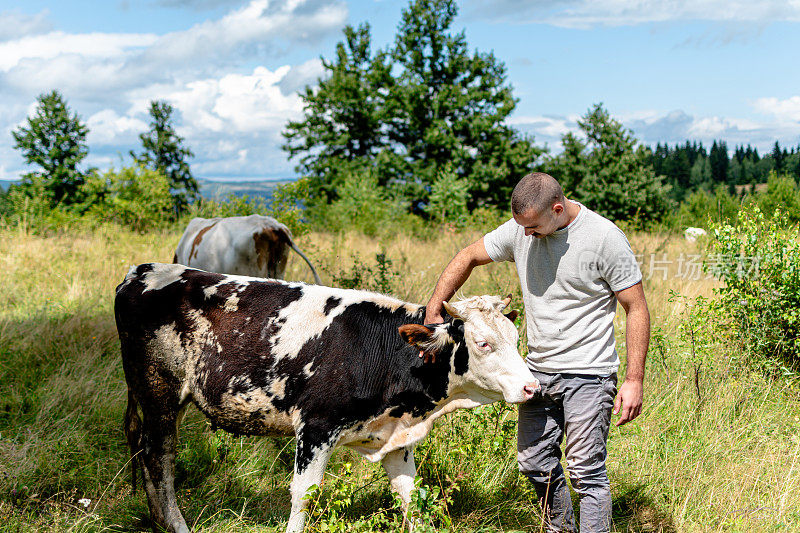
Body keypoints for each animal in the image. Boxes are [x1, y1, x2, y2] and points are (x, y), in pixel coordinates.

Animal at [114, 262, 536, 532]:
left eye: (515, 338)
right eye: (483, 344)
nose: (532, 387)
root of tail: (142, 272)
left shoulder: (396, 438)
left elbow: (410, 497)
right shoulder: (316, 428)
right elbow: (304, 495)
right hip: (159, 392)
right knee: (159, 459)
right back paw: (175, 524)